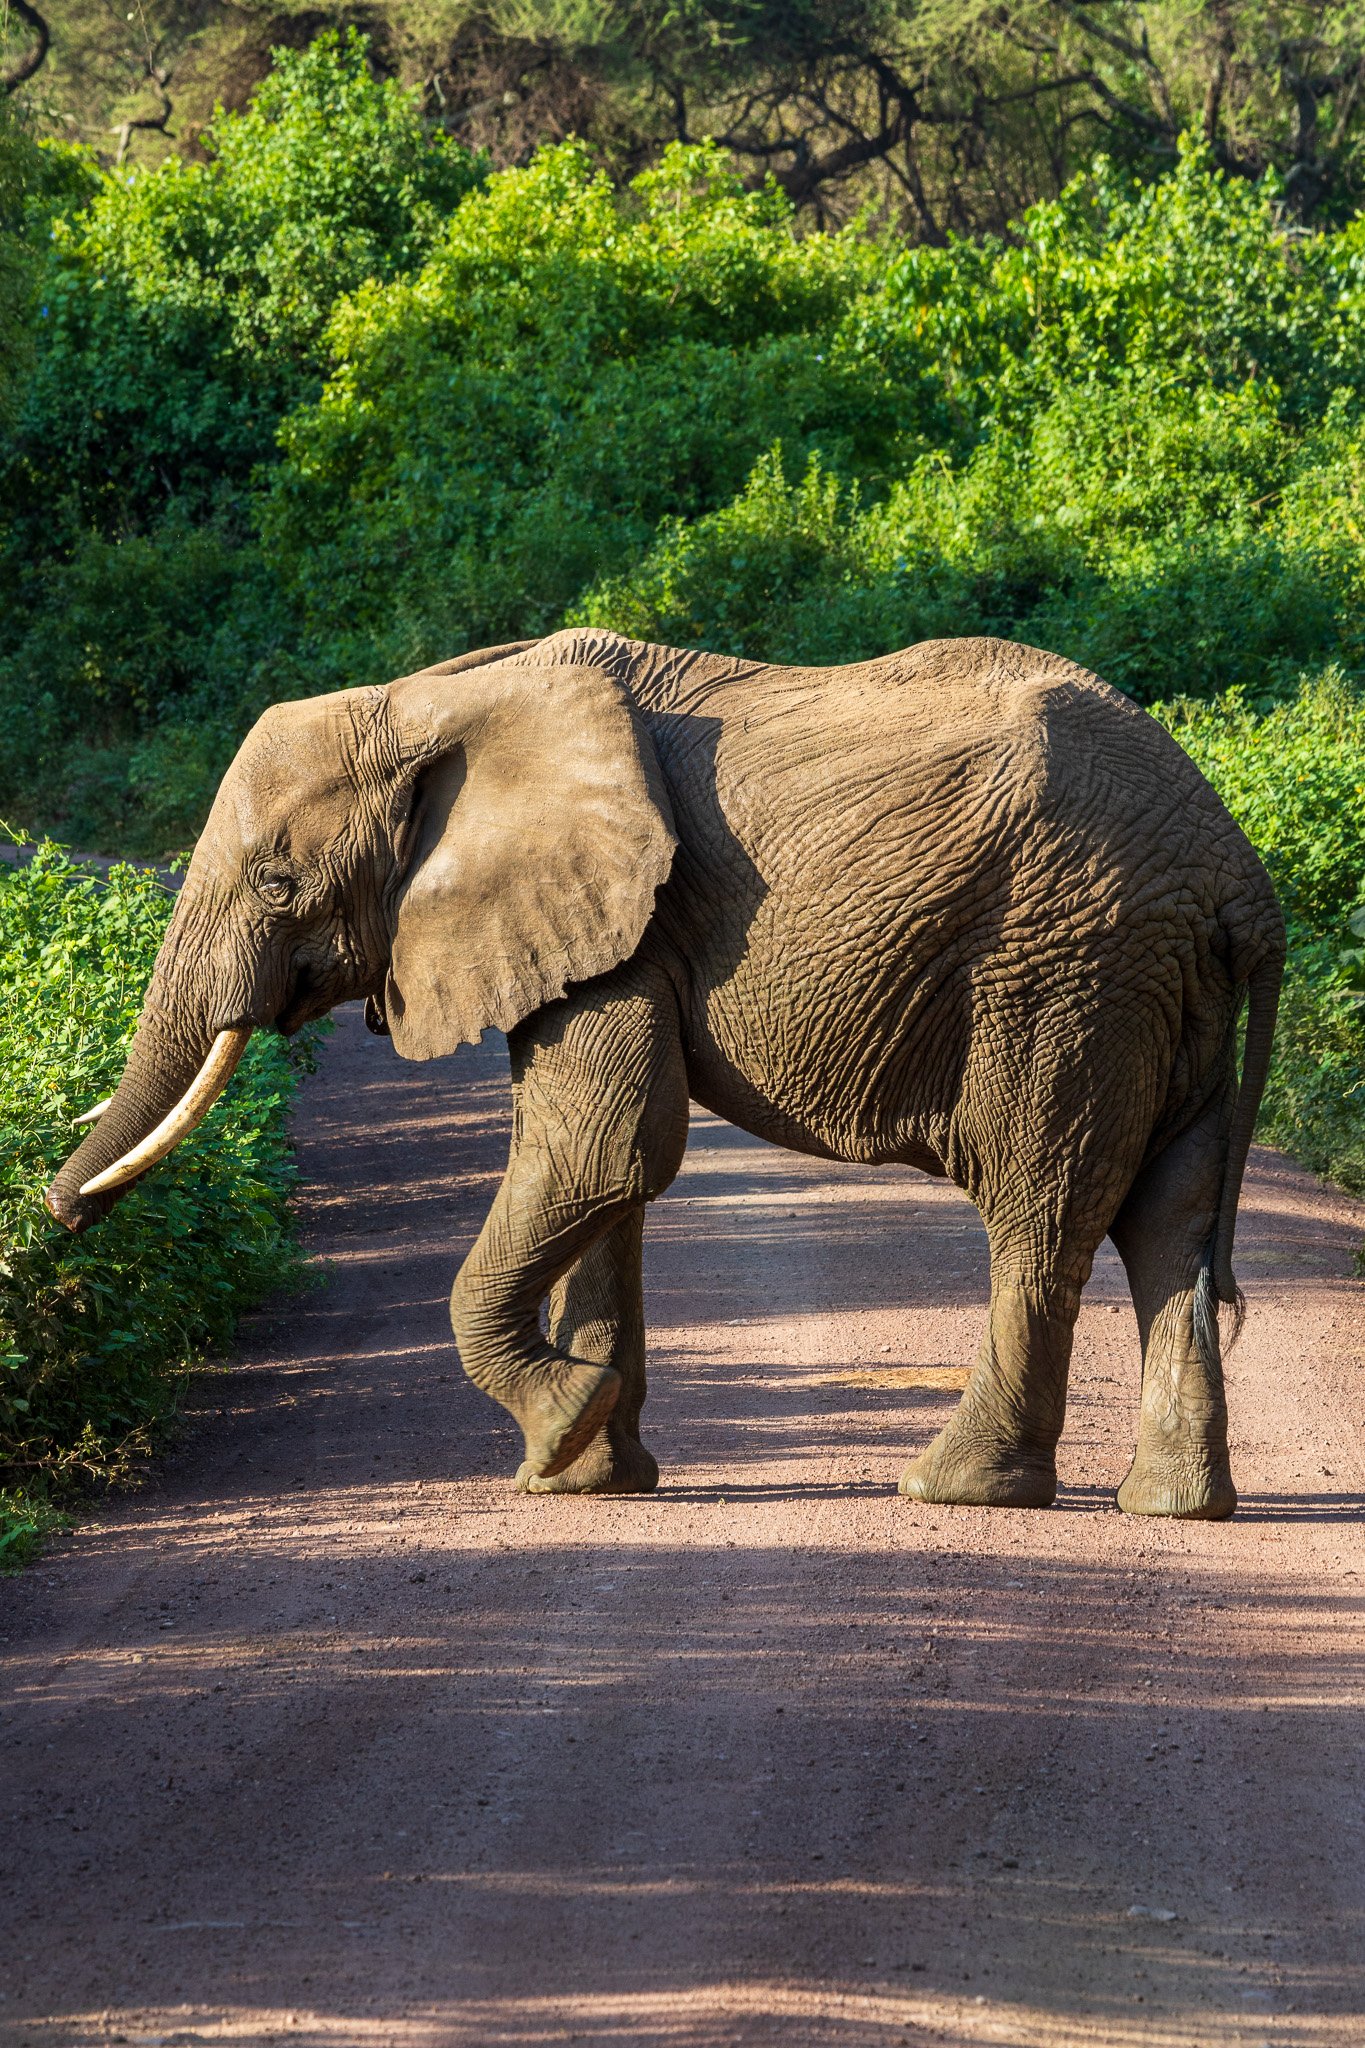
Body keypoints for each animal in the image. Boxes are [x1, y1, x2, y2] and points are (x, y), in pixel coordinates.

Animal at [45, 630, 1285, 1515]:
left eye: (275, 883)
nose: (59, 1216)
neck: (427, 703)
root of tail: (1240, 873)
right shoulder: (597, 927)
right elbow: (606, 1178)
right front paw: (588, 1473)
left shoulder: (625, 922)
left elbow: (603, 1152)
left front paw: (561, 1423)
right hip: (1159, 984)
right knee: (1169, 1217)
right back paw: (1175, 1507)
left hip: (1067, 975)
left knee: (1041, 1208)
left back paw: (955, 1488)